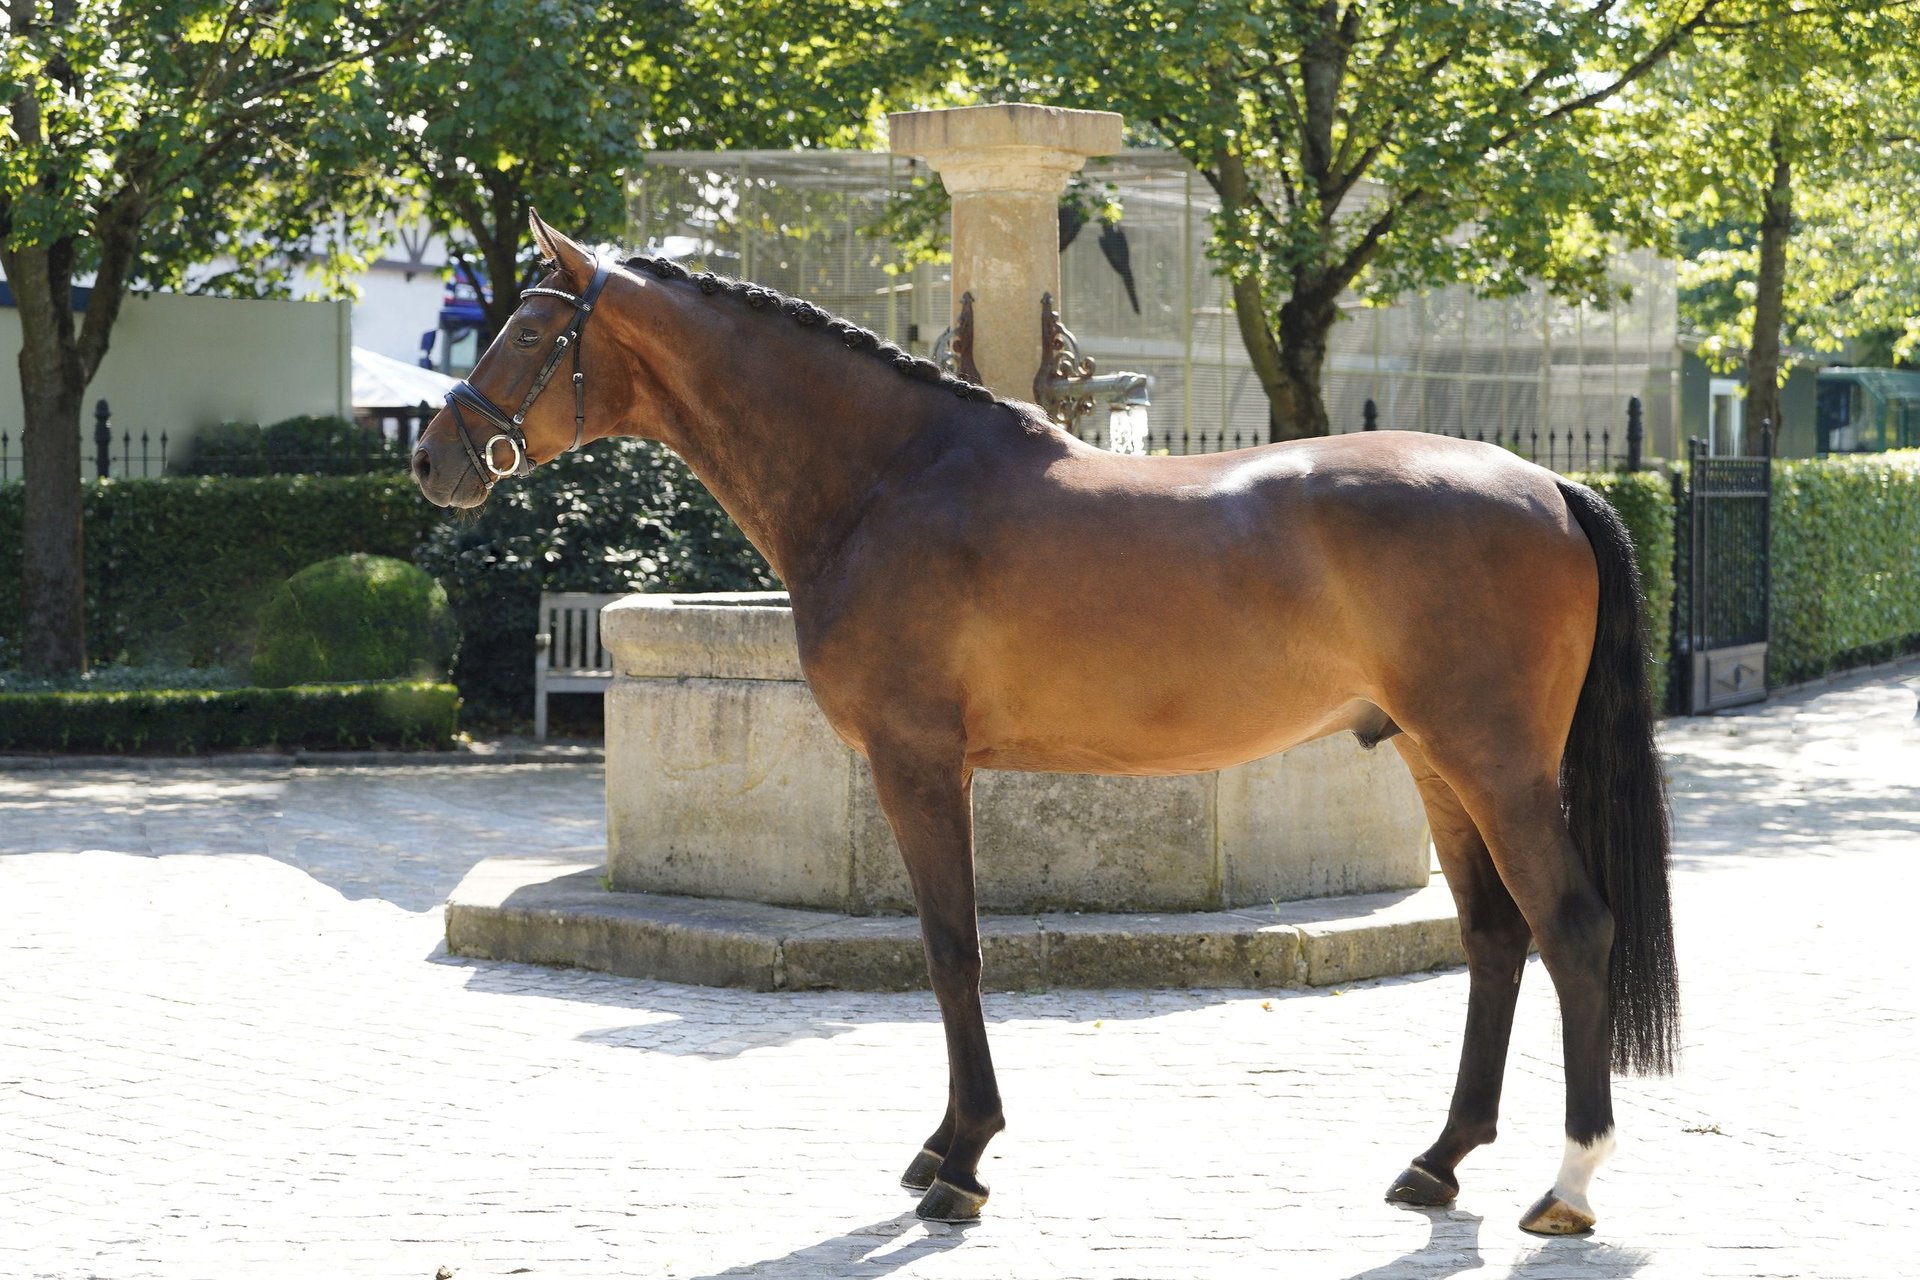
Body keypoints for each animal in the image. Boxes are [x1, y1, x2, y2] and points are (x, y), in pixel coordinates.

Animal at [412, 213, 1674, 1243]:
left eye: (530, 334)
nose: (432, 458)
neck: (888, 478)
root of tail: (1548, 485)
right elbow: (952, 945)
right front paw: (945, 1143)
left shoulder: (919, 763)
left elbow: (952, 946)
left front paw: (961, 1160)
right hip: (1432, 759)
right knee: (1495, 936)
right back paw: (1438, 1159)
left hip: (1497, 766)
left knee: (1571, 926)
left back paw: (1568, 1185)